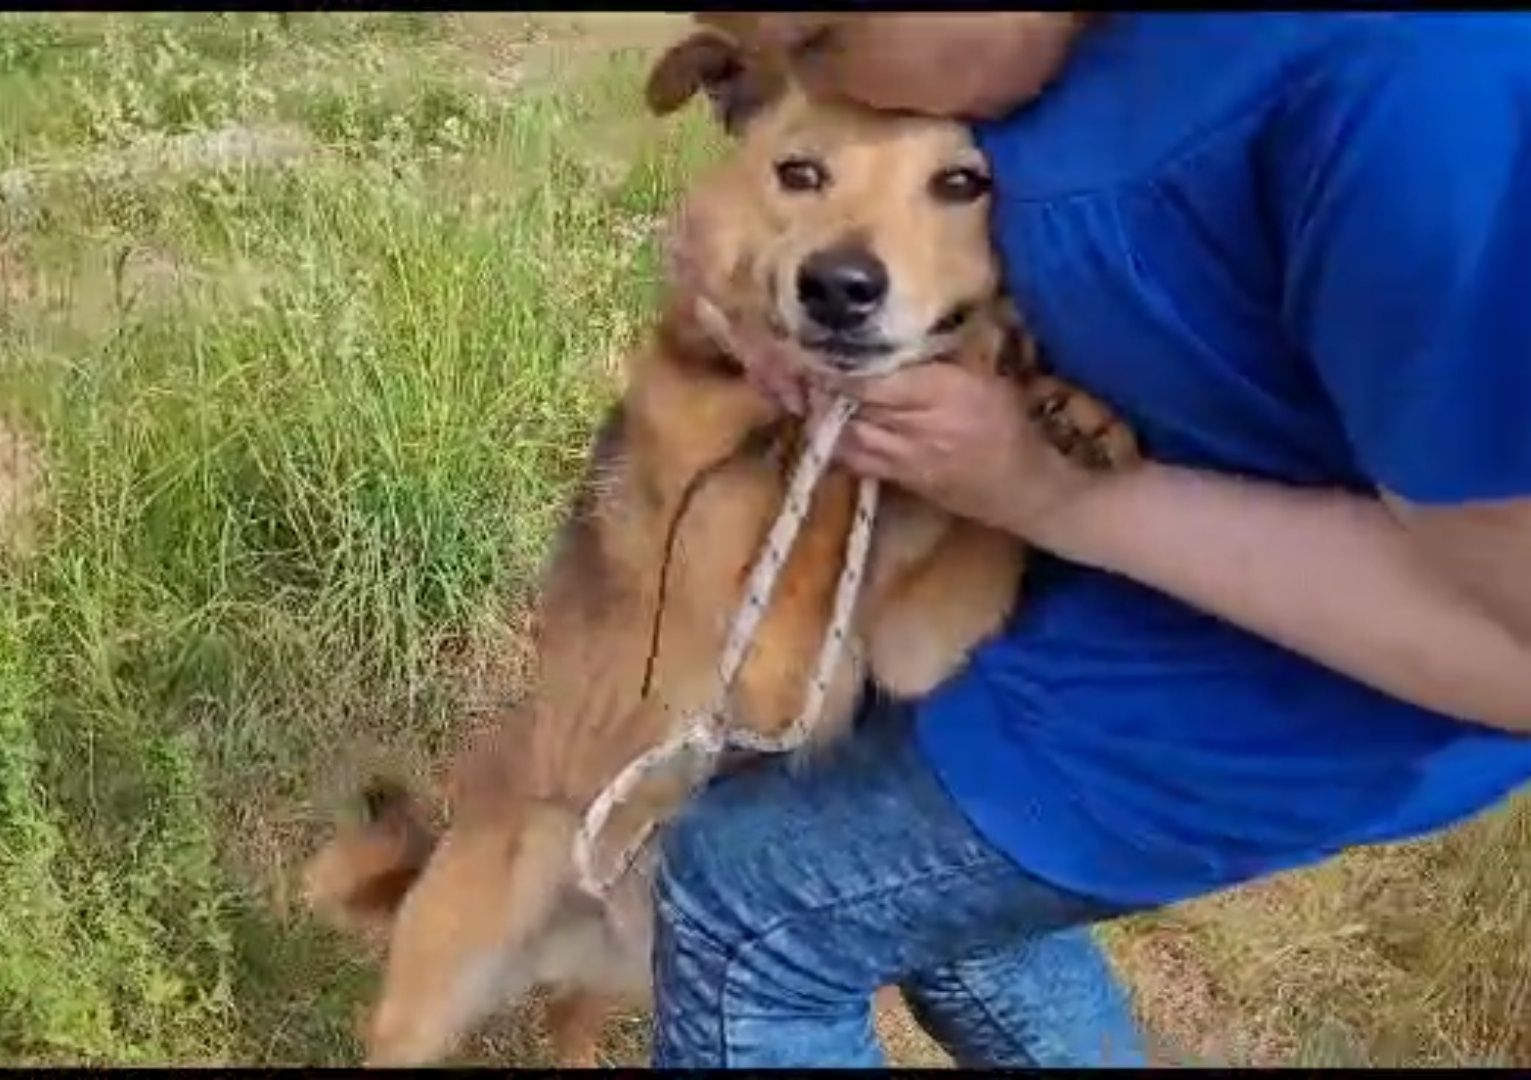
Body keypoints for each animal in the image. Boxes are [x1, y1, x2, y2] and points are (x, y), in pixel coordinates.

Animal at [301, 25, 1139, 1072]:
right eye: (799, 172)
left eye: (960, 184)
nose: (839, 288)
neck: (793, 426)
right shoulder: (765, 657)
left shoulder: (920, 640)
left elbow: (981, 525)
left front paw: (1068, 410)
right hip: (437, 989)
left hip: (618, 984)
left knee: (571, 1031)